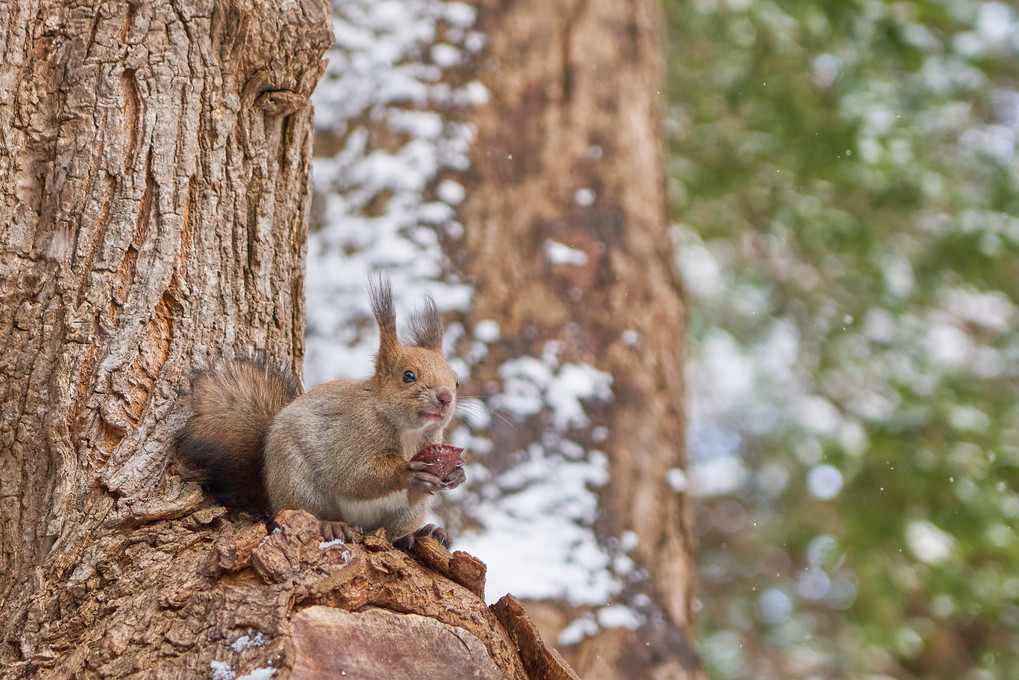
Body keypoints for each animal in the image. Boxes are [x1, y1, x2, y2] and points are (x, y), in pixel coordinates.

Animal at [177, 273, 464, 550]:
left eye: (456, 381)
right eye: (408, 376)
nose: (445, 397)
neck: (408, 431)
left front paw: (457, 474)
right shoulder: (354, 434)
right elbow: (356, 476)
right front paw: (407, 472)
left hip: (404, 513)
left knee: (394, 531)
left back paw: (420, 534)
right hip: (297, 482)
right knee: (307, 513)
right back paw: (333, 526)